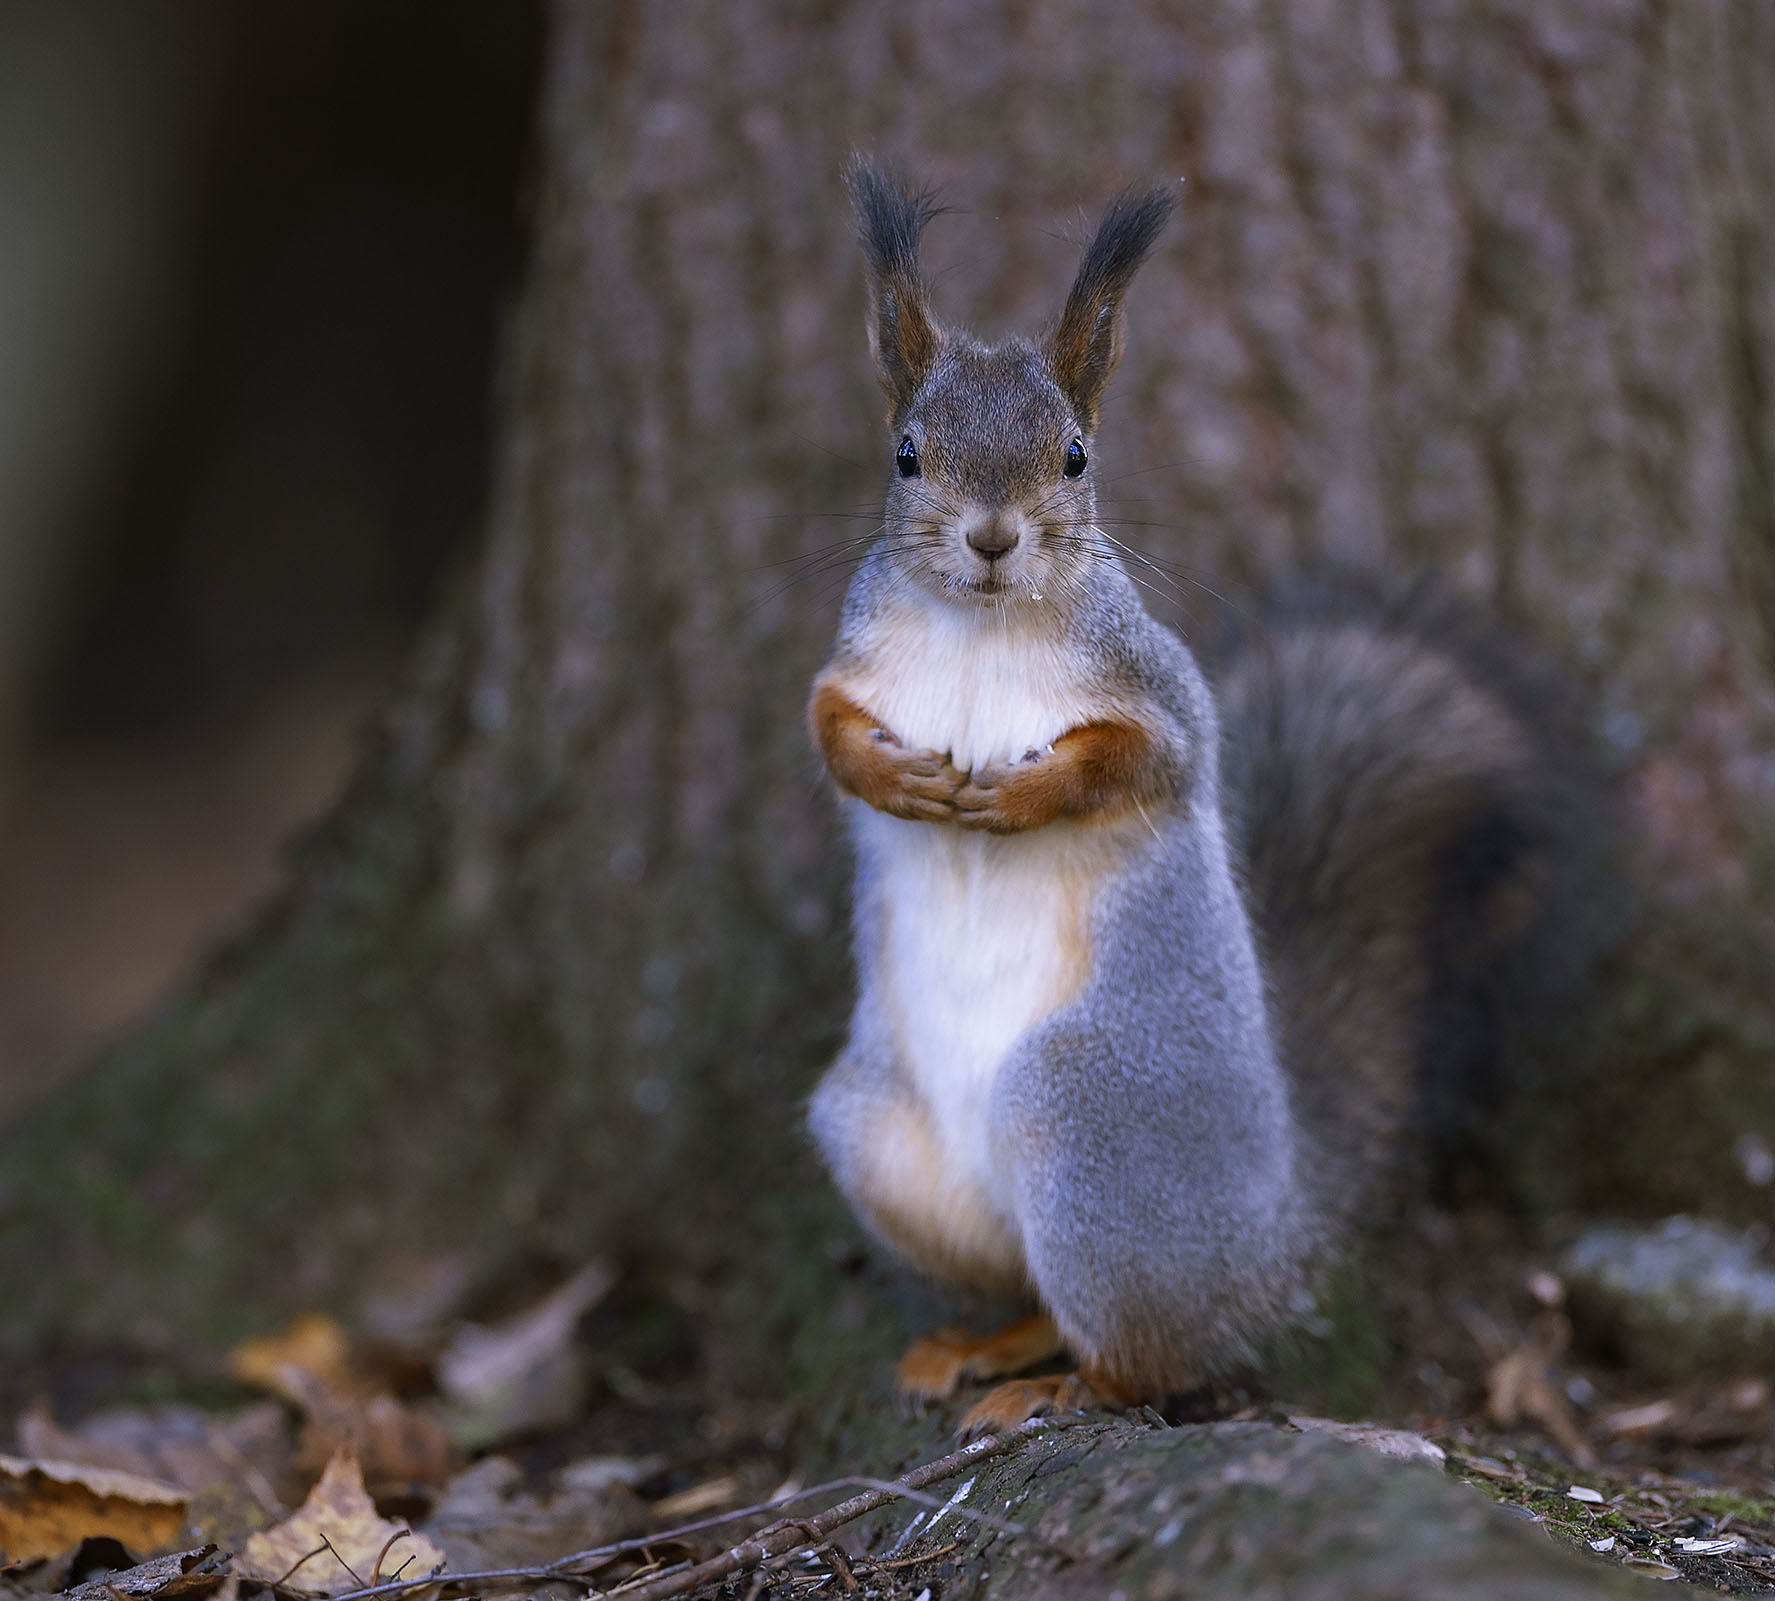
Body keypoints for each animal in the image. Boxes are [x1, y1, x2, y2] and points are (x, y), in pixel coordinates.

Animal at [809, 159, 1611, 1441]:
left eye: (1074, 456)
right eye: (904, 453)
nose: (990, 537)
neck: (981, 627)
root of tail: (1271, 1234)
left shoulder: (1160, 692)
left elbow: (1145, 760)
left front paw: (1026, 793)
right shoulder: (848, 667)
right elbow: (828, 732)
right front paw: (898, 778)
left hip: (1086, 1116)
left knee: (1145, 1357)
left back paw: (1053, 1381)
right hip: (884, 1139)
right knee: (1038, 1287)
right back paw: (980, 1341)